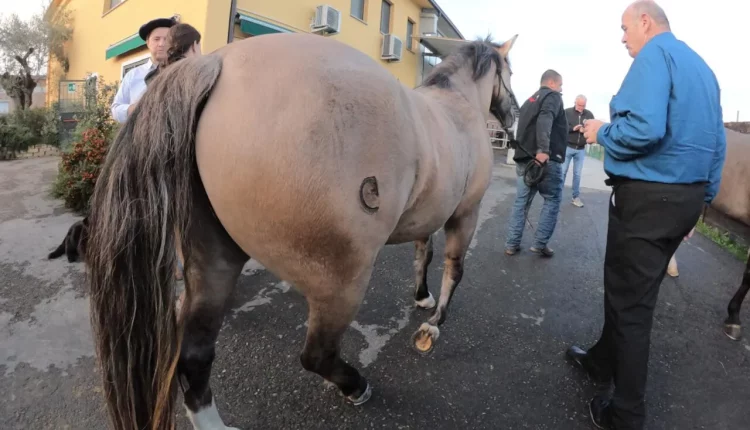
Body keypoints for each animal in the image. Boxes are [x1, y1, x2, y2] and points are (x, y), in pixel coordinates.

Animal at [85, 32, 520, 430]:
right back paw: (356, 386)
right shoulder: (465, 213)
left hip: (212, 260)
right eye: (511, 71)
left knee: (194, 355)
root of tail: (216, 63)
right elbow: (453, 268)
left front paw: (421, 298)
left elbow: (422, 255)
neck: (457, 107)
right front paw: (434, 323)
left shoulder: (429, 217)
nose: (513, 113)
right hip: (341, 279)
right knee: (317, 354)